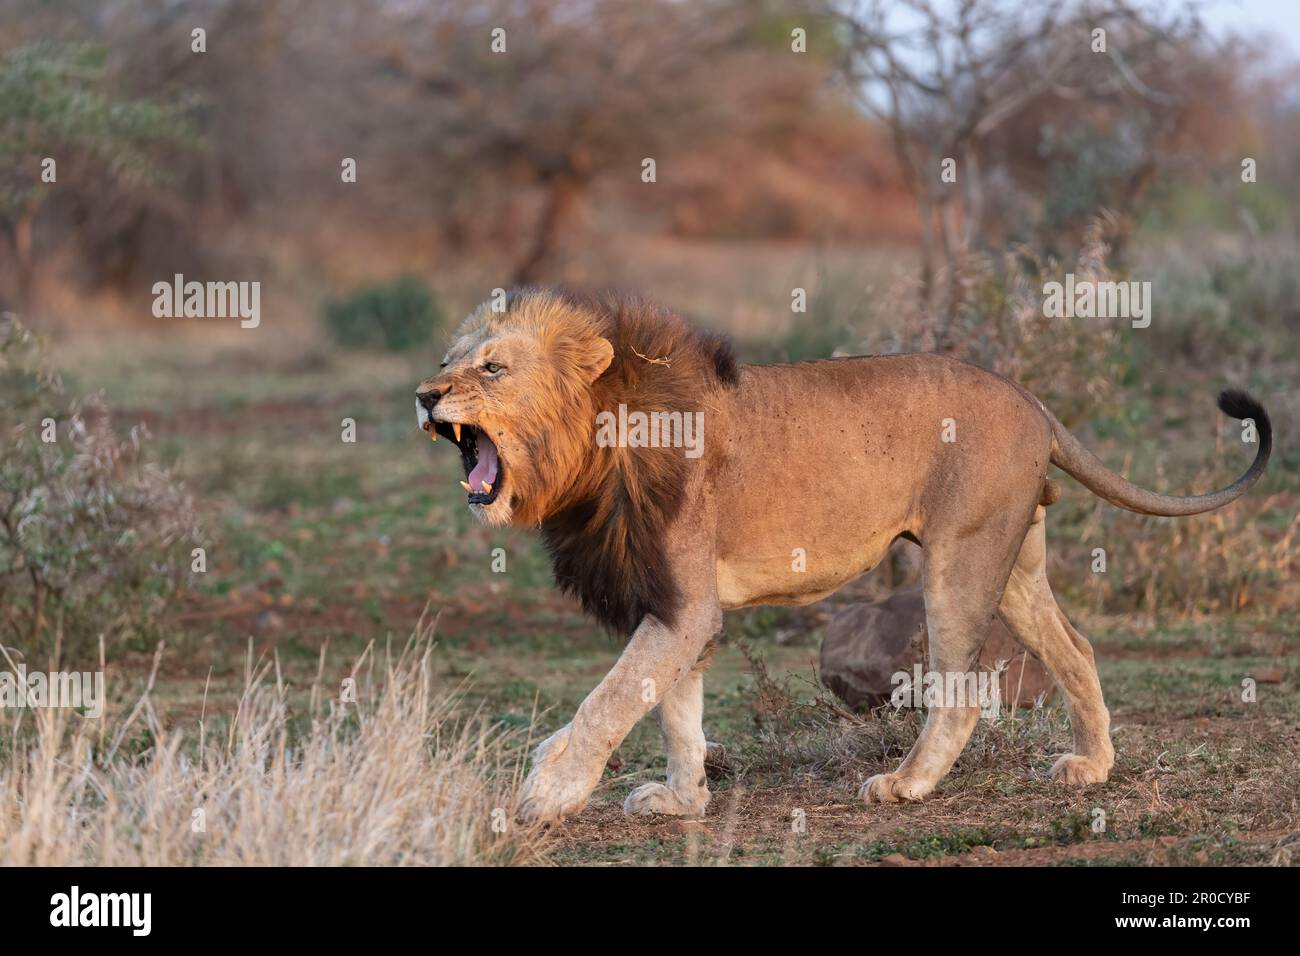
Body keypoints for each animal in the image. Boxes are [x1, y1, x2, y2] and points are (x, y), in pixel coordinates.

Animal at [416, 287, 1268, 827]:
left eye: (491, 366)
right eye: (450, 360)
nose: (425, 396)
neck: (592, 446)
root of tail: (1033, 401)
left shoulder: (685, 605)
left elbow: (612, 699)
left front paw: (549, 790)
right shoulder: (676, 601)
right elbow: (674, 711)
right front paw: (683, 801)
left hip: (959, 561)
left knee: (961, 690)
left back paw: (907, 785)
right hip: (1015, 561)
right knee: (1078, 647)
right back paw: (1092, 766)